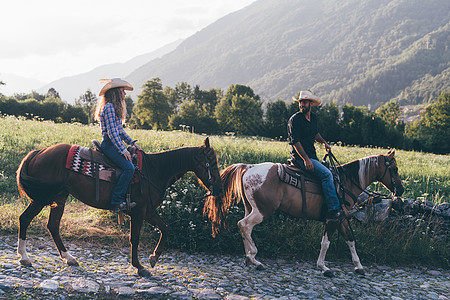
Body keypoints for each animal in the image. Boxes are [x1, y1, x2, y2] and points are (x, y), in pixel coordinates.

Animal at [16, 137, 223, 276]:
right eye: (211, 163)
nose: (220, 188)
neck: (154, 170)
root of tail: (39, 152)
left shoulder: (148, 212)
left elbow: (165, 228)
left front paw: (153, 258)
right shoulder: (139, 212)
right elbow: (135, 238)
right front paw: (140, 267)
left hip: (59, 198)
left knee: (53, 226)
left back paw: (69, 258)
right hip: (42, 198)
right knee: (25, 219)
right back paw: (24, 258)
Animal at [204, 149, 404, 276]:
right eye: (394, 169)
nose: (401, 190)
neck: (345, 182)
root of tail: (250, 167)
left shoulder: (341, 219)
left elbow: (351, 241)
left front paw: (359, 266)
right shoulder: (332, 219)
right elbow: (326, 243)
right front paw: (324, 267)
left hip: (251, 208)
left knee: (246, 228)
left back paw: (250, 258)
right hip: (262, 211)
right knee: (243, 225)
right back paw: (254, 258)